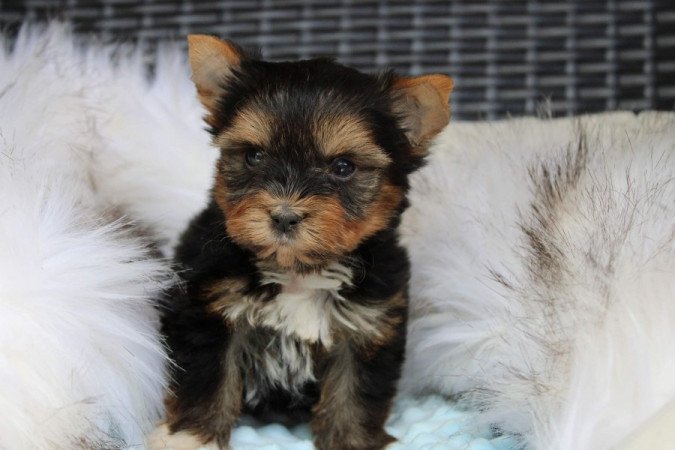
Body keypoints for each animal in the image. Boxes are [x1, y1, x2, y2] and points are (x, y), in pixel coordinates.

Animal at [151, 35, 452, 450]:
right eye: (253, 156)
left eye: (343, 167)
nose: (284, 216)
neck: (298, 270)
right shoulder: (210, 310)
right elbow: (208, 376)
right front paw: (191, 438)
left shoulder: (367, 326)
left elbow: (354, 392)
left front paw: (352, 440)